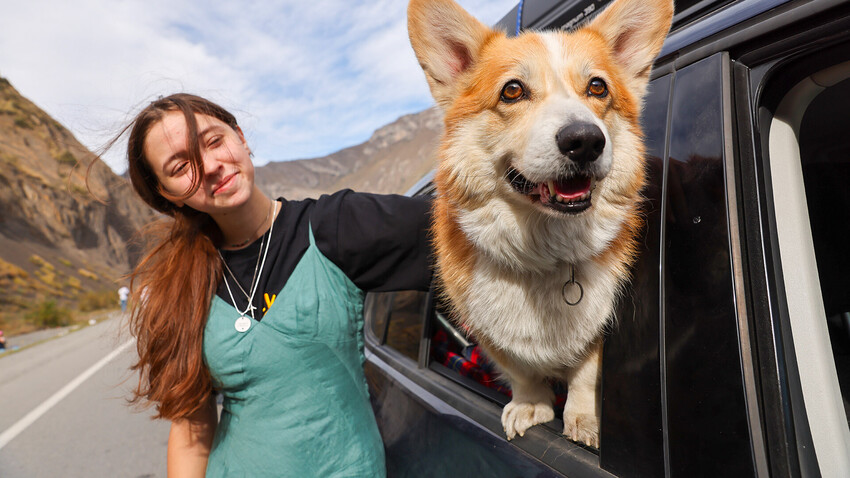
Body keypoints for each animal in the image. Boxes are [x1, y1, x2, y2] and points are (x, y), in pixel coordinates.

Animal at [408, 0, 672, 448]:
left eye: (597, 88)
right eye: (512, 90)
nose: (586, 140)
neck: (544, 254)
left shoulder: (598, 333)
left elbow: (586, 373)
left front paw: (584, 419)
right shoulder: (487, 334)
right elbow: (521, 371)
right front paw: (532, 406)